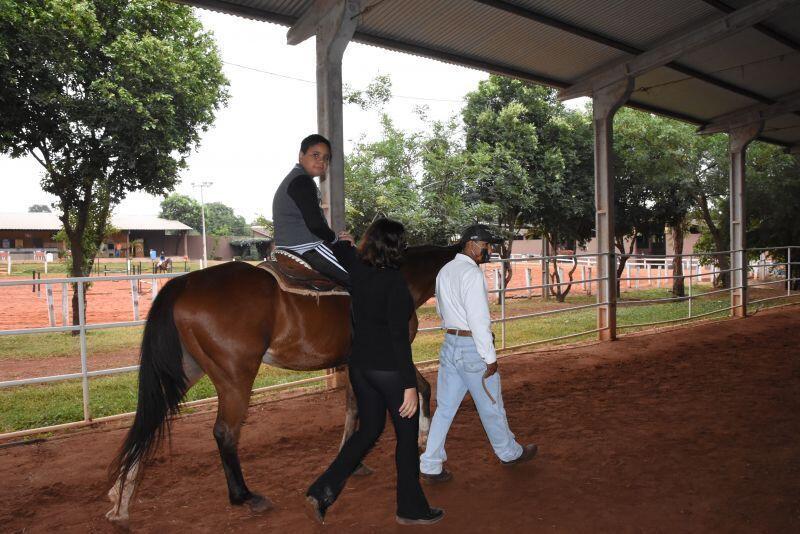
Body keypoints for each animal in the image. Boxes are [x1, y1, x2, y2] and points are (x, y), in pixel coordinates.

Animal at [107, 245, 460, 524]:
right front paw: (423, 440)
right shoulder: (389, 359)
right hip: (235, 377)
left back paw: (121, 501)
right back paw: (246, 497)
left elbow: (353, 408)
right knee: (225, 432)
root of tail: (185, 282)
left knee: (147, 423)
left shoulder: (354, 365)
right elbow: (420, 389)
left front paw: (354, 460)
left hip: (185, 371)